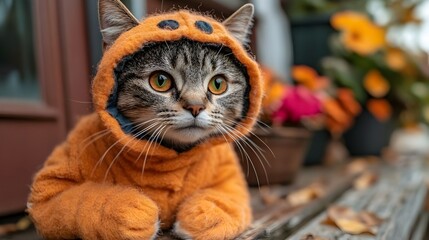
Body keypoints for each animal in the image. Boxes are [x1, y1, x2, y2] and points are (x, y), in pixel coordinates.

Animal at [27, 0, 264, 240]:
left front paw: (205, 214)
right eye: (160, 81)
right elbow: (71, 199)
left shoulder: (229, 175)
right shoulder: (49, 189)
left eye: (218, 84)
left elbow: (228, 197)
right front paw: (128, 211)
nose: (195, 106)